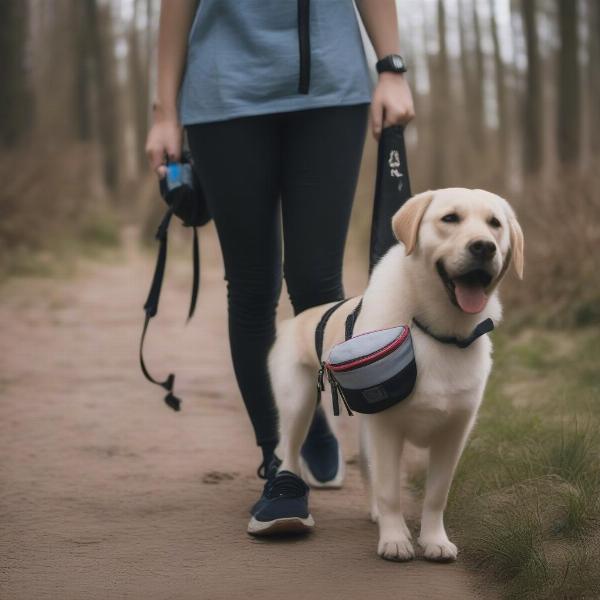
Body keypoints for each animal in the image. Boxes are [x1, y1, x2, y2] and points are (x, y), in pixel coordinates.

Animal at [270, 189, 524, 564]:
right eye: (450, 219)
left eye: (495, 224)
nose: (484, 247)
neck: (437, 332)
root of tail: (294, 320)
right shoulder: (388, 428)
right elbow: (391, 492)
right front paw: (394, 540)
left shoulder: (454, 432)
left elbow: (435, 496)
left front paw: (434, 541)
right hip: (298, 405)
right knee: (289, 453)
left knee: (368, 473)